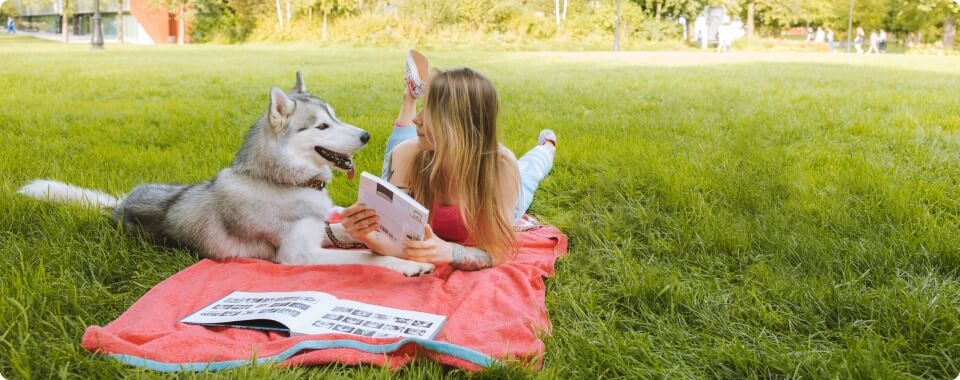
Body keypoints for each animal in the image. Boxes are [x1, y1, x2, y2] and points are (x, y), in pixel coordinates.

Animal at [17, 72, 436, 276]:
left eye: (335, 116)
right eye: (321, 126)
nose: (366, 136)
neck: (280, 181)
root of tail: (120, 204)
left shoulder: (321, 230)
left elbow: (351, 234)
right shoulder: (297, 254)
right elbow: (367, 258)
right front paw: (407, 264)